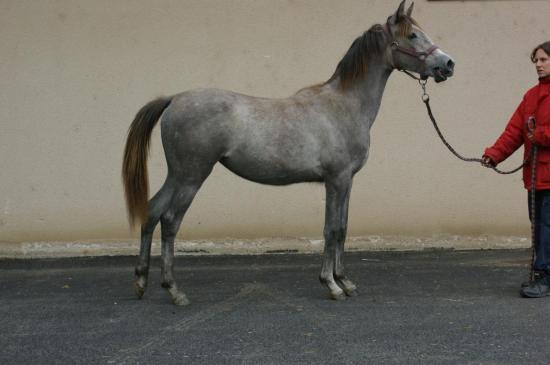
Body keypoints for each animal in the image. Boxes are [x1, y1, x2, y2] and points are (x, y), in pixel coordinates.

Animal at [123, 0, 454, 304]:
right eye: (412, 35)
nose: (448, 64)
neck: (344, 105)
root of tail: (174, 99)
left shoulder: (348, 181)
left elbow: (343, 228)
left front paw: (345, 281)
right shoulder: (336, 180)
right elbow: (331, 229)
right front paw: (331, 284)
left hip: (177, 174)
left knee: (152, 212)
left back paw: (141, 282)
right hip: (192, 176)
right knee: (169, 221)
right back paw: (174, 290)